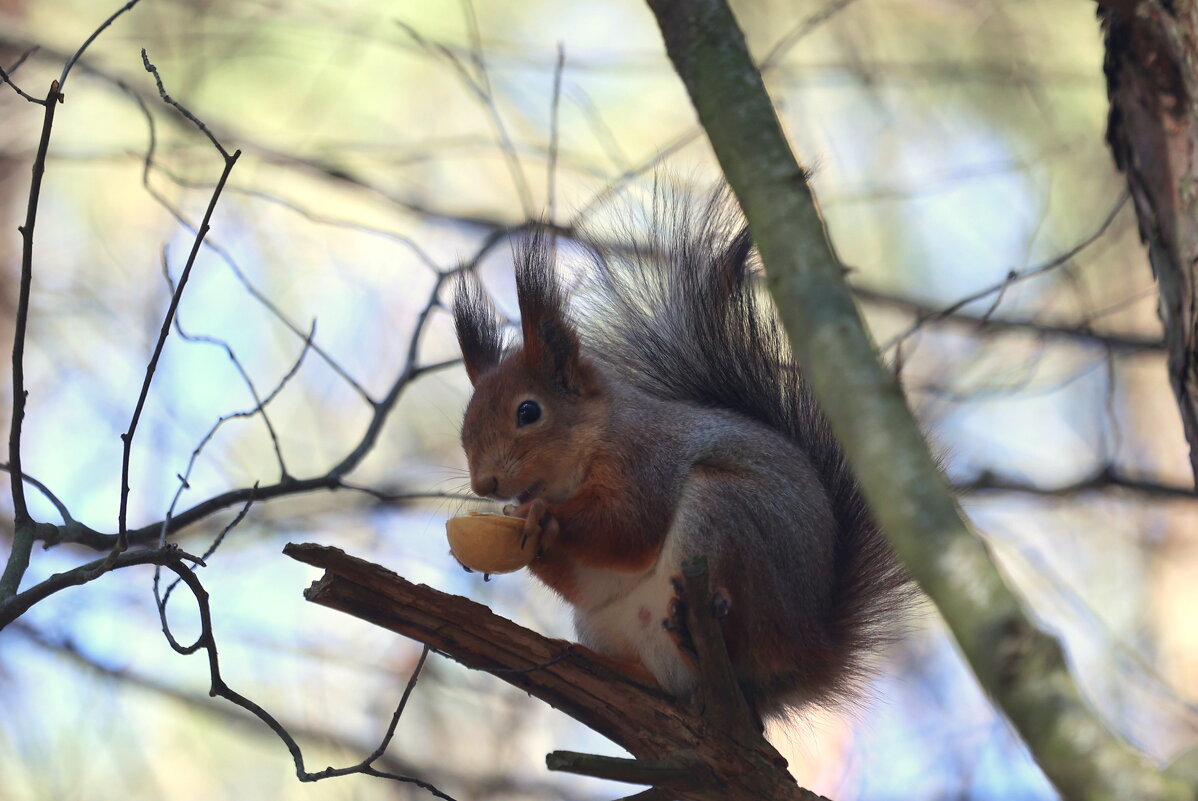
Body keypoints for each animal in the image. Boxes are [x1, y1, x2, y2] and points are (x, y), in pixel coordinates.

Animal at [450, 193, 905, 718]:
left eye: (528, 411)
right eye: (466, 424)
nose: (484, 485)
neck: (594, 440)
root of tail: (807, 658)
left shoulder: (646, 458)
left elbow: (629, 527)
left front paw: (543, 515)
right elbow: (593, 578)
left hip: (728, 517)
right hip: (613, 627)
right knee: (667, 683)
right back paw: (611, 666)